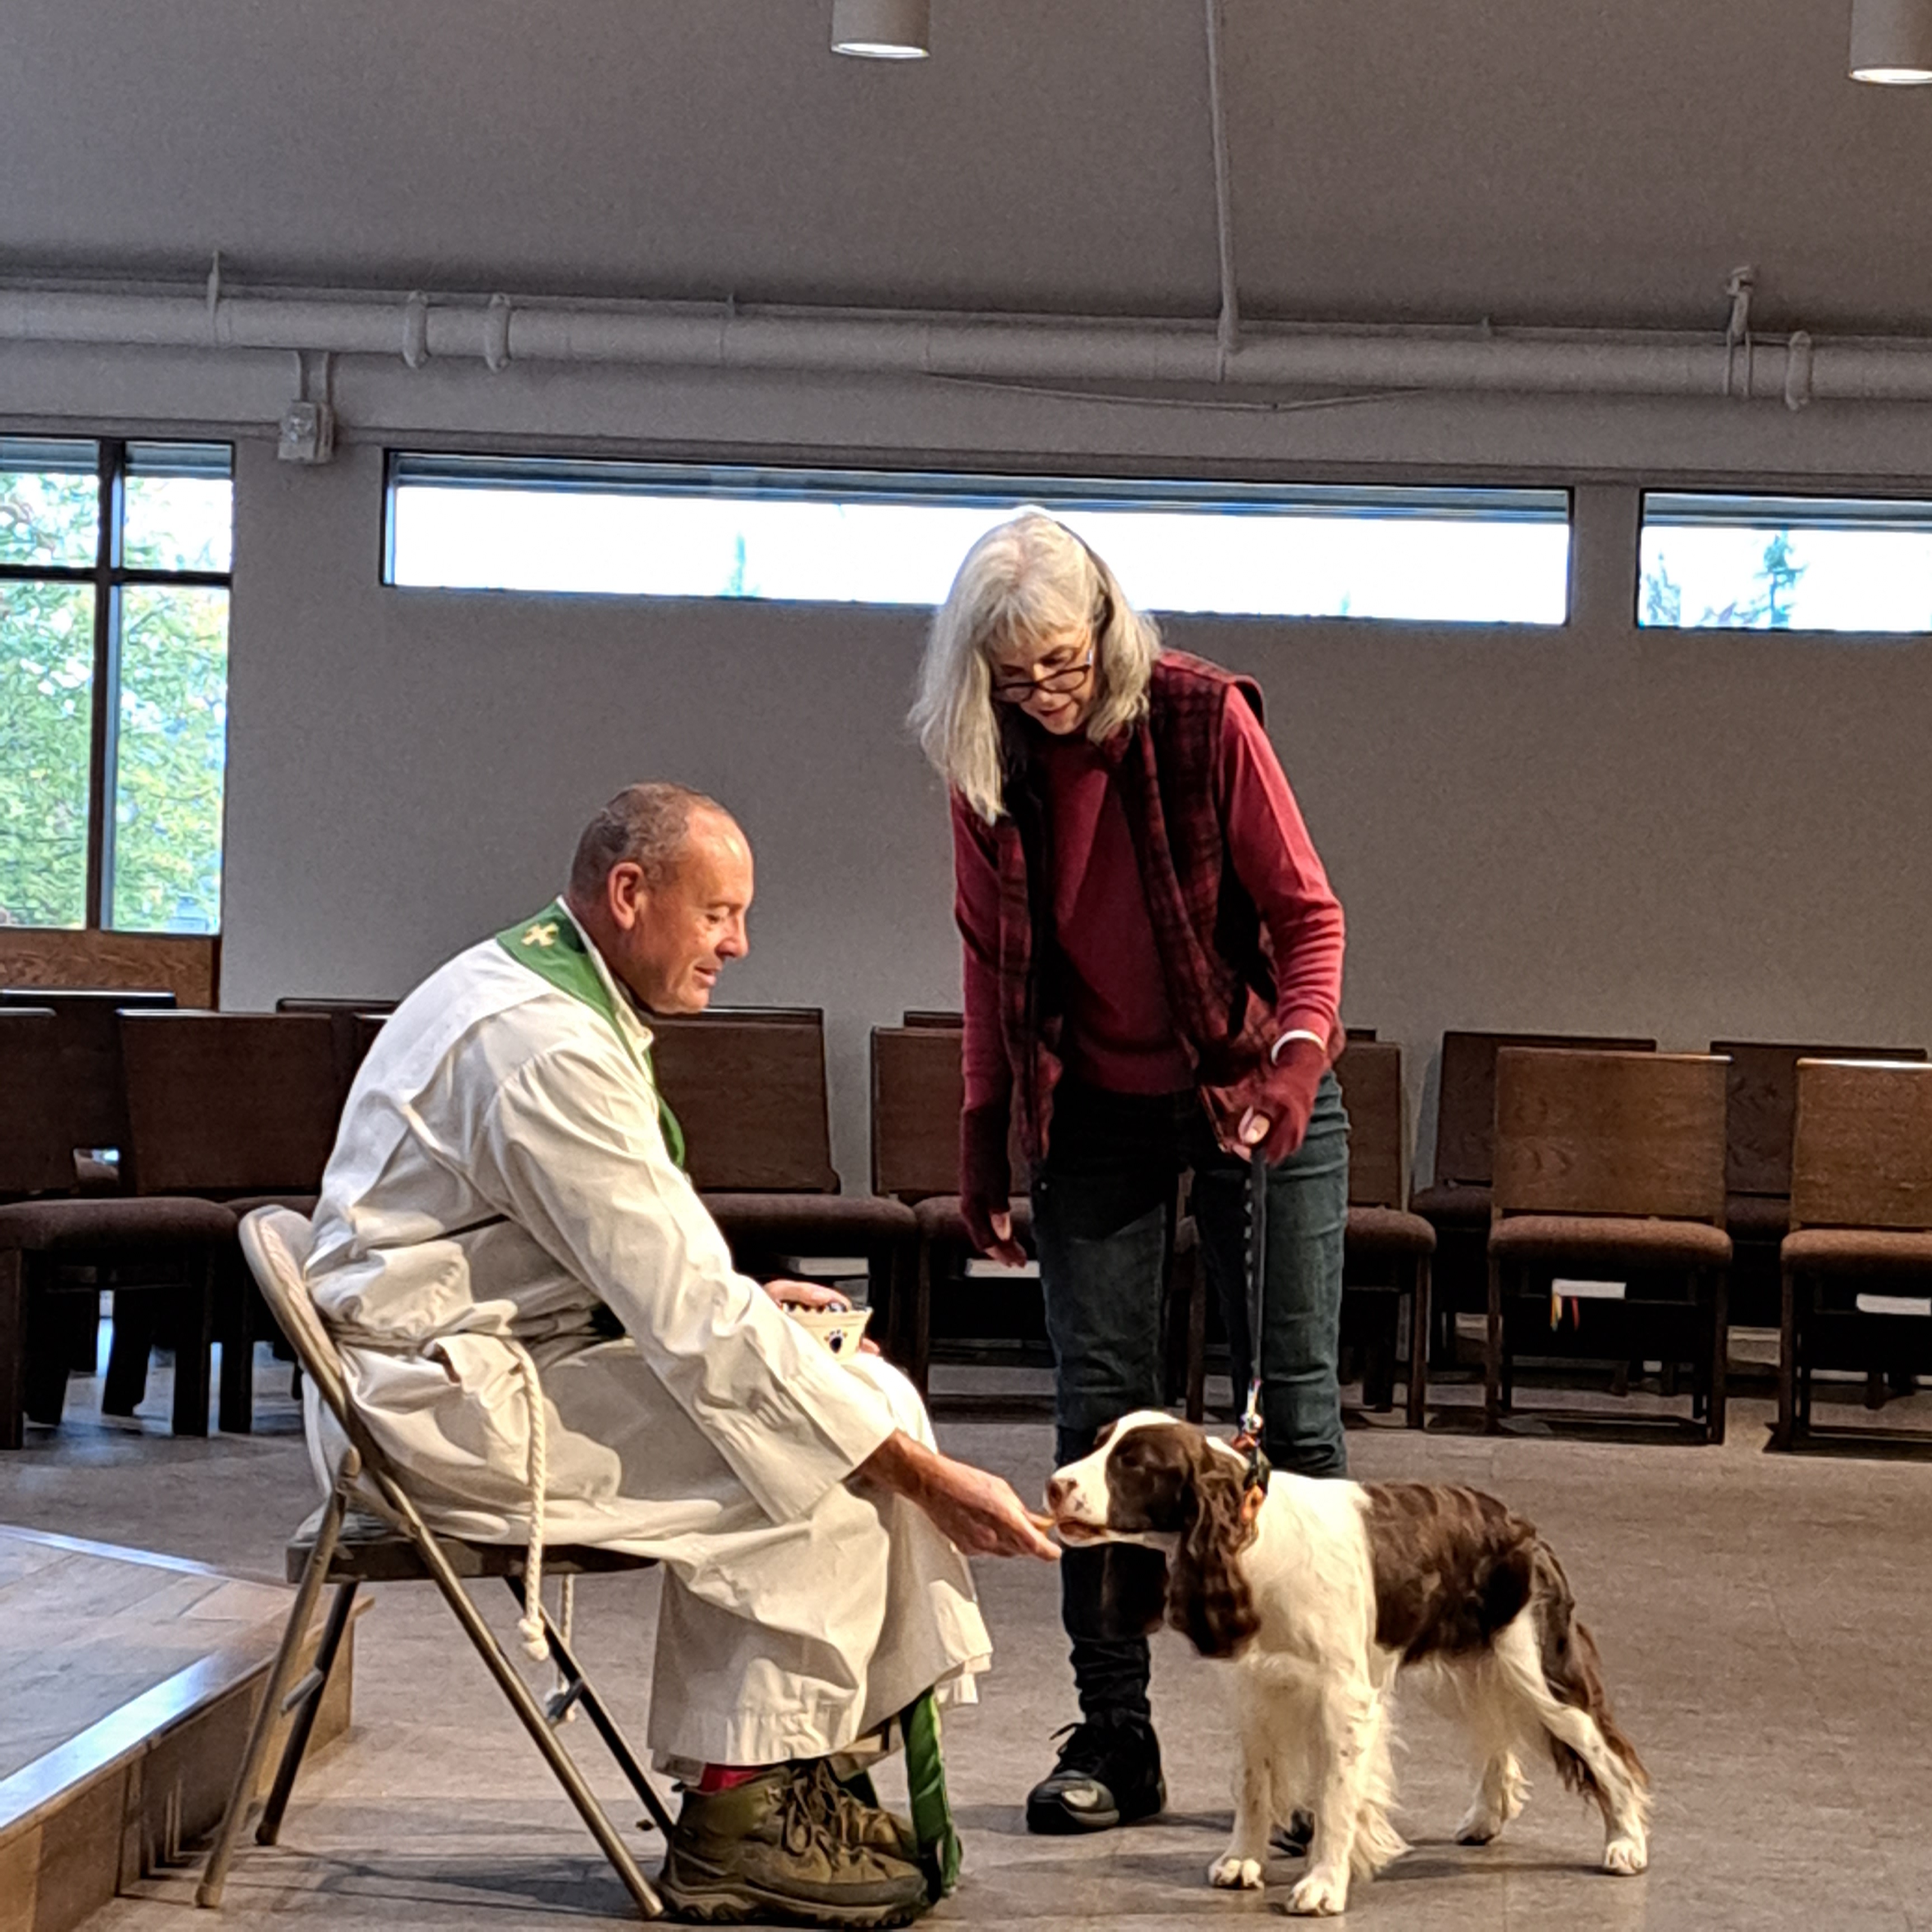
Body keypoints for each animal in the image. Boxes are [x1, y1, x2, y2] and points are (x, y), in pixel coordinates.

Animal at [1045, 1413, 1650, 1916]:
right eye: (1098, 1444)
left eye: (1135, 1462)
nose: (1055, 1486)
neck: (1255, 1541)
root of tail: (1522, 1527)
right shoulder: (1256, 1692)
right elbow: (1254, 1785)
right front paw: (1242, 1860)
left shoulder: (1344, 1696)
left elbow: (1335, 1796)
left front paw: (1323, 1885)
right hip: (1467, 1666)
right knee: (1495, 1734)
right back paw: (1485, 1818)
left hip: (1536, 1668)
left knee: (1608, 1753)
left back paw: (1626, 1843)